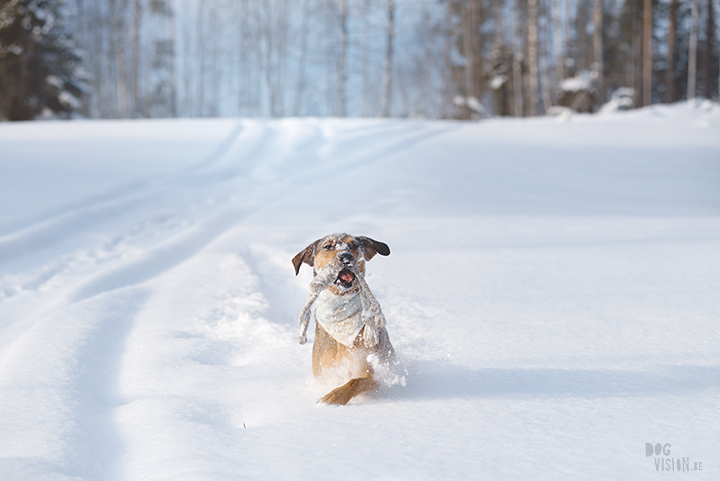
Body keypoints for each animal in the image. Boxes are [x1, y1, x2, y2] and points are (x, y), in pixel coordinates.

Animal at [292, 234, 394, 404]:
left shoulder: (373, 374)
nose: (346, 256)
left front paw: (332, 398)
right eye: (328, 246)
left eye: (353, 245)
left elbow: (355, 381)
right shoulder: (322, 373)